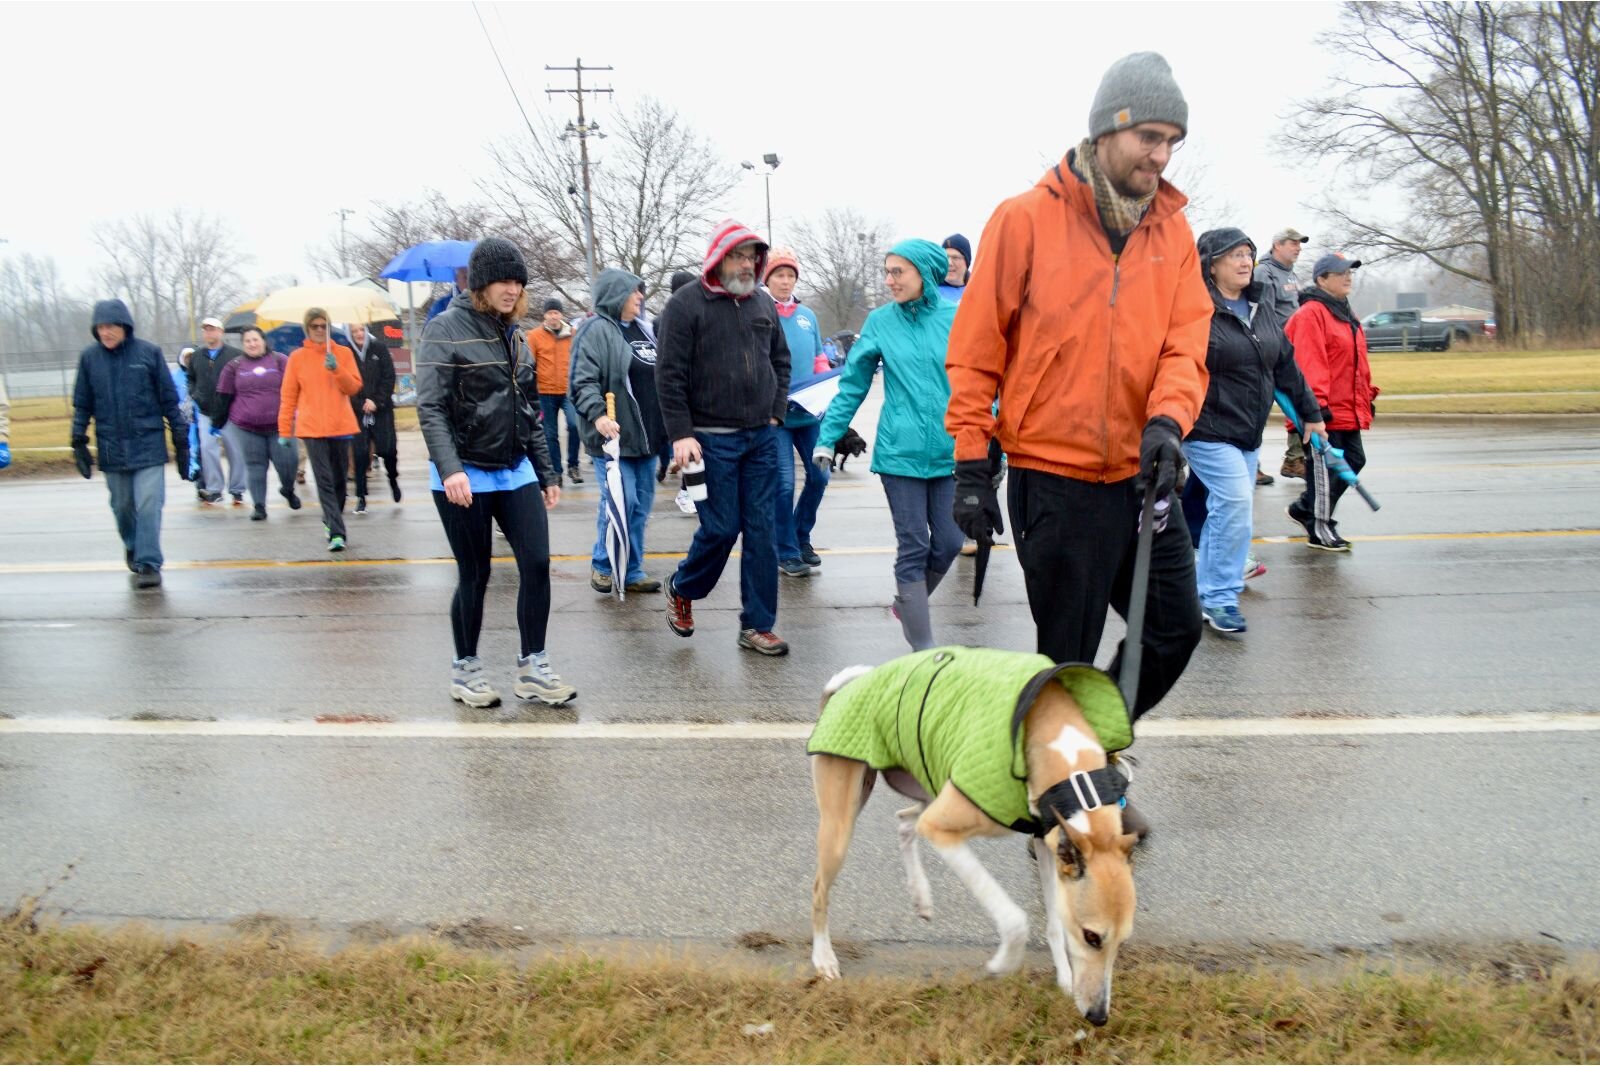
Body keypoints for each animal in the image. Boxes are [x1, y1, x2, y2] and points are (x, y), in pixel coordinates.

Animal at [812, 643, 1139, 1024]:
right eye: (1091, 936)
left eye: (1122, 941)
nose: (1098, 1016)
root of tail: (835, 695)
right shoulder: (944, 828)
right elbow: (1015, 920)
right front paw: (1003, 964)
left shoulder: (1047, 842)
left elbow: (1055, 920)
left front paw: (1065, 978)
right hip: (843, 824)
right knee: (820, 889)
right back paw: (823, 958)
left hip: (930, 783)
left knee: (905, 821)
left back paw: (921, 895)